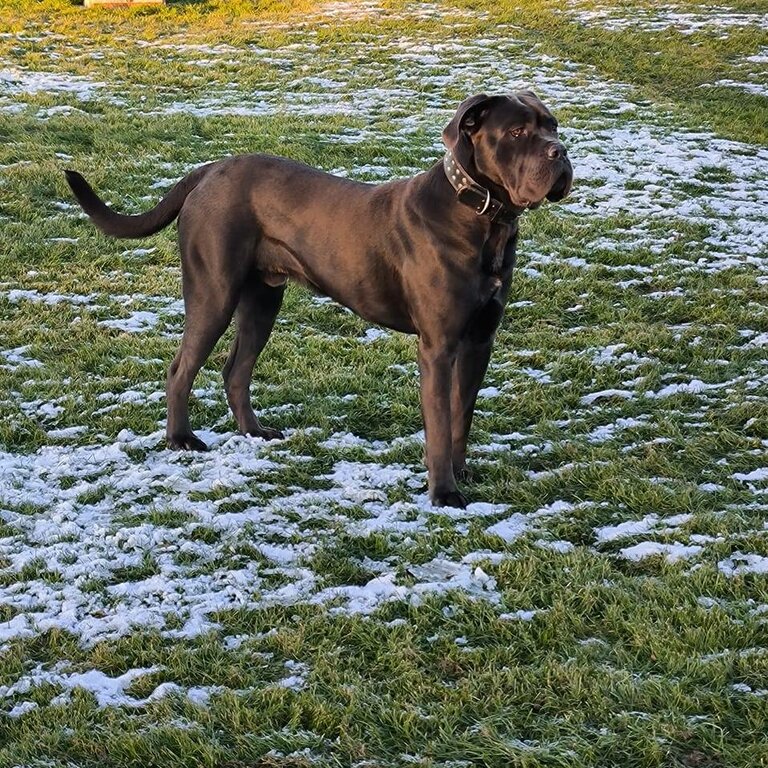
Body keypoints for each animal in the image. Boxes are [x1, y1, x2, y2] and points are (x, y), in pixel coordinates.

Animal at [66, 91, 568, 510]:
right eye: (517, 133)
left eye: (553, 125)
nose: (559, 152)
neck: (484, 219)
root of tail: (210, 170)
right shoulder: (438, 347)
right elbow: (441, 424)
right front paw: (444, 493)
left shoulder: (480, 340)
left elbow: (462, 414)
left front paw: (461, 473)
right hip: (214, 292)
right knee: (181, 368)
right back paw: (181, 439)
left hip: (263, 299)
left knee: (235, 369)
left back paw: (255, 432)